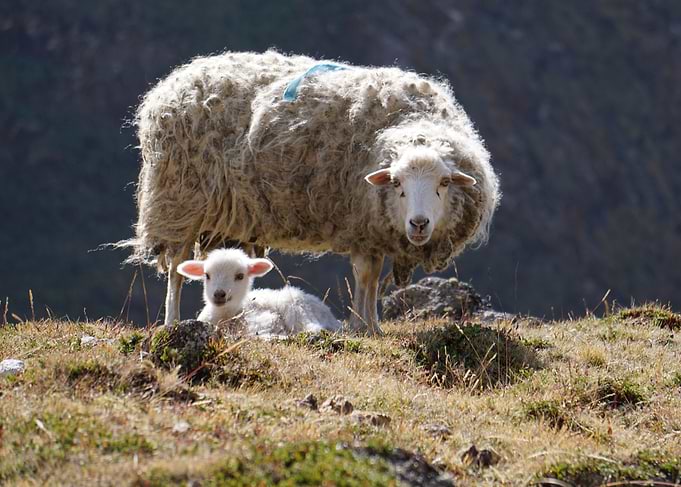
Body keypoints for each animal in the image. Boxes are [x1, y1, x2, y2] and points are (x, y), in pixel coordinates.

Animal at [177, 248, 342, 338]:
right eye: (207, 275)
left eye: (240, 276)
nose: (219, 294)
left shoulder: (263, 319)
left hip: (293, 303)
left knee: (314, 328)